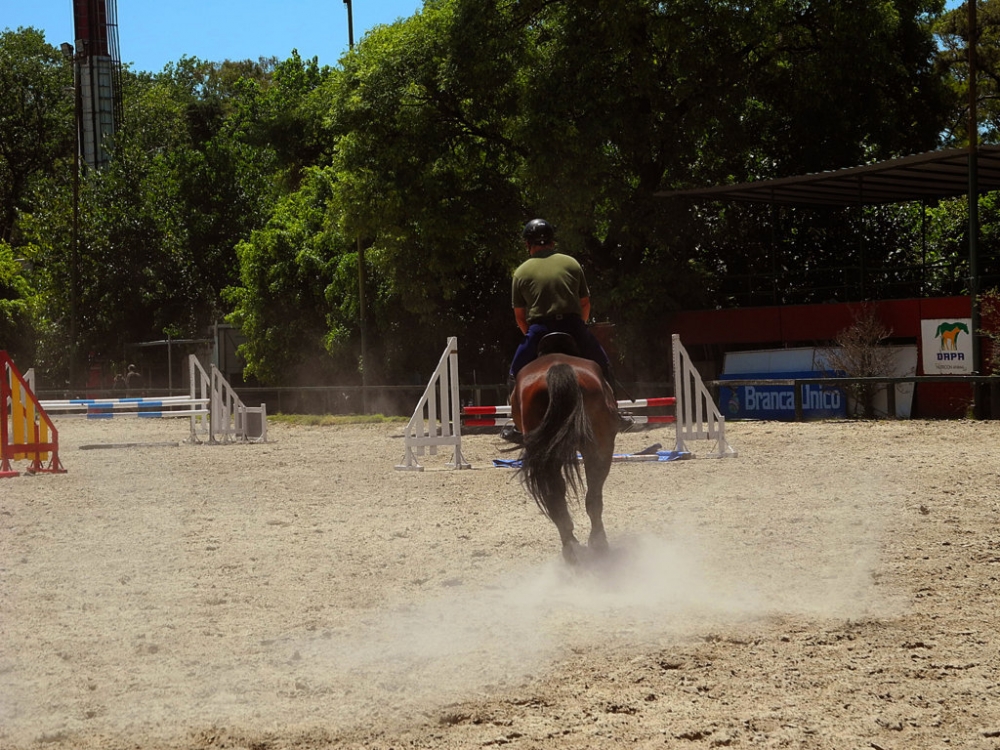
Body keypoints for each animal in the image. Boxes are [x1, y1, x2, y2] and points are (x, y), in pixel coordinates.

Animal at [512, 346, 620, 564]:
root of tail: (558, 368)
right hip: (599, 447)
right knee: (590, 495)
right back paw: (592, 544)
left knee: (558, 494)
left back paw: (573, 546)